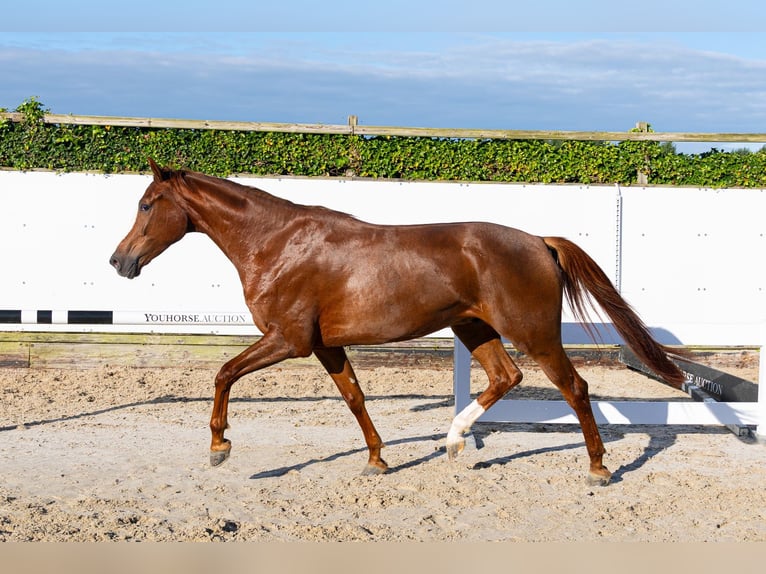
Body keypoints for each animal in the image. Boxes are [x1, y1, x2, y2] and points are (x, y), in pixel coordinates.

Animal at [110, 159, 684, 485]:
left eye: (147, 205)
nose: (120, 262)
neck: (277, 243)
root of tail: (539, 241)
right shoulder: (324, 345)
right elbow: (355, 397)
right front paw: (377, 460)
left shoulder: (288, 340)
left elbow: (224, 373)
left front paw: (219, 448)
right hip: (474, 327)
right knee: (506, 377)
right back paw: (454, 442)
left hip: (534, 333)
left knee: (575, 387)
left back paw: (598, 468)